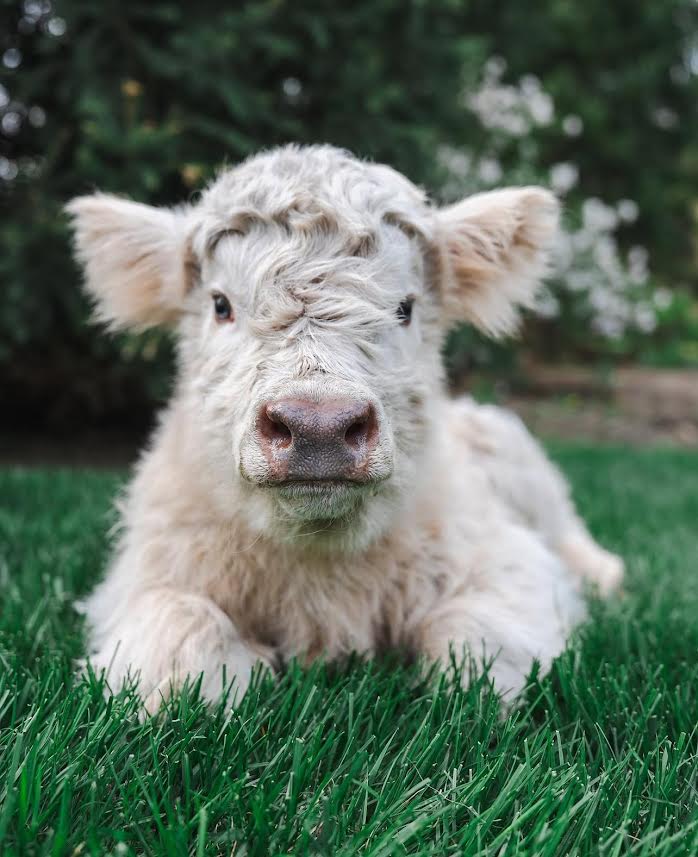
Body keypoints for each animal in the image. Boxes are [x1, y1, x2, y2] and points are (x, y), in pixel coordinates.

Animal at [67, 145, 623, 712]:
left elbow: (474, 653)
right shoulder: (146, 576)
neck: (319, 567)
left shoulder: (507, 562)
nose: (319, 428)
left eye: (405, 308)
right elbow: (181, 640)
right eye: (221, 305)